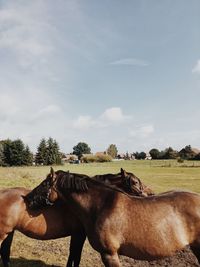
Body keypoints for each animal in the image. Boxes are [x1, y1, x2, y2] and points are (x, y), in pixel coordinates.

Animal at [0, 169, 152, 266]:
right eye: (135, 182)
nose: (150, 194)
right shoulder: (78, 234)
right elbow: (75, 256)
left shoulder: (77, 234)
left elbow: (73, 255)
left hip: (9, 233)